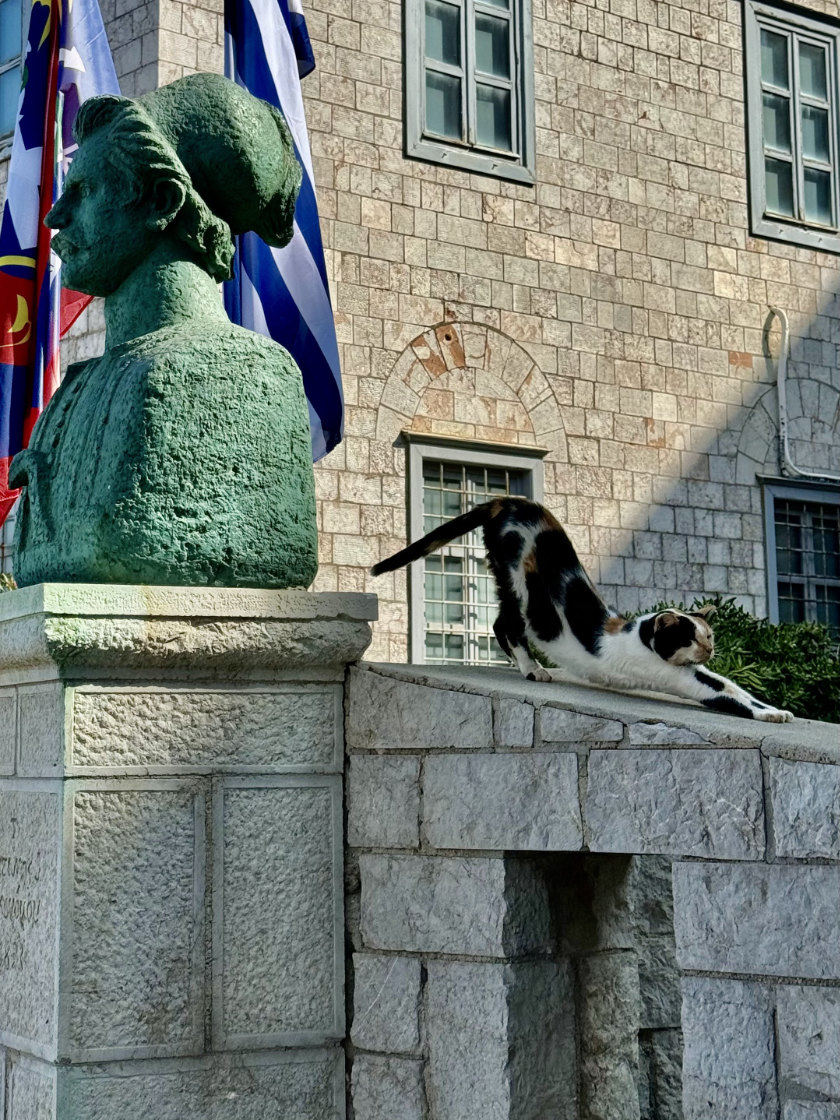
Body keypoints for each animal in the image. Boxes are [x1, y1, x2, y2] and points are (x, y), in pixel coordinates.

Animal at [374, 495, 797, 721]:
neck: (638, 636)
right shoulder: (683, 679)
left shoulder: (706, 673)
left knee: (498, 622)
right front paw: (768, 715)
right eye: (689, 639)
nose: (709, 650)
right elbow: (730, 698)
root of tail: (507, 500)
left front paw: (775, 709)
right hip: (518, 585)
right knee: (506, 624)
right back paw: (532, 668)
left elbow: (736, 688)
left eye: (709, 637)